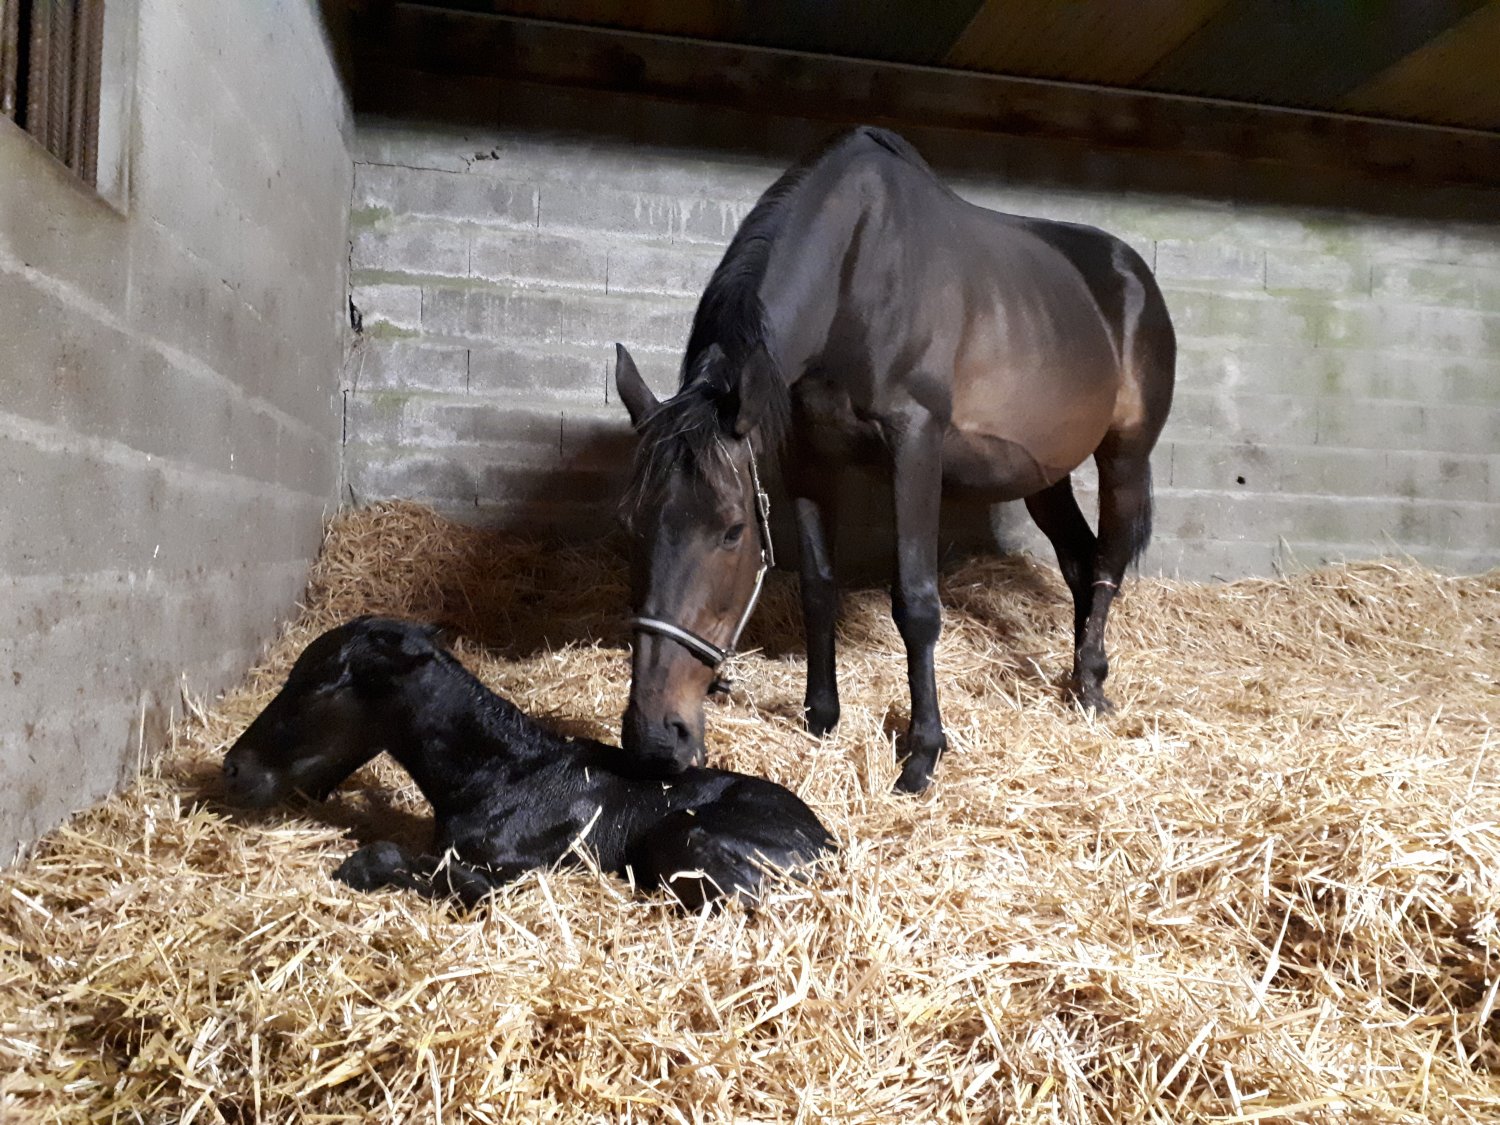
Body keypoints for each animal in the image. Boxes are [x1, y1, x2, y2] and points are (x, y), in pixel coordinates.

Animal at [221, 617, 834, 910]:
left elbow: (428, 870)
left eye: (314, 685)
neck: (502, 777)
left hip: (687, 838)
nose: (233, 769)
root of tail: (826, 847)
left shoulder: (513, 870)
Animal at [614, 126, 1175, 793]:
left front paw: (923, 753)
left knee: (1107, 562)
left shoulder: (916, 447)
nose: (654, 737)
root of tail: (1134, 272)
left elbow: (916, 602)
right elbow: (817, 586)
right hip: (1044, 473)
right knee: (1078, 559)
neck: (855, 276)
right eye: (636, 523)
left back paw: (1090, 683)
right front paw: (821, 716)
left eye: (732, 530)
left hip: (1125, 458)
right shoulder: (807, 458)